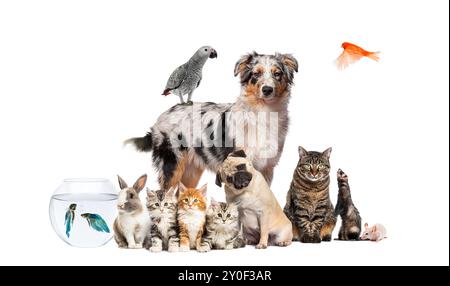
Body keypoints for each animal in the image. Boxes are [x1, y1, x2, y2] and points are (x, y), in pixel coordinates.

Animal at [125, 51, 298, 190]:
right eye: (256, 73)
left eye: (277, 73)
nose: (267, 89)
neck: (263, 113)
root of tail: (161, 116)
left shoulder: (266, 169)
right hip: (172, 166)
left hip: (190, 172)